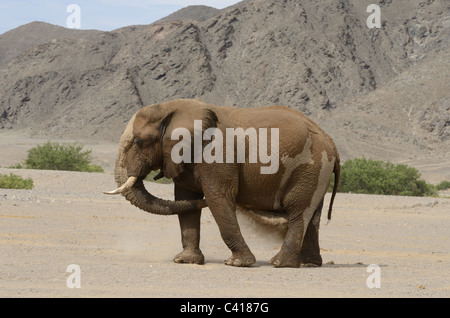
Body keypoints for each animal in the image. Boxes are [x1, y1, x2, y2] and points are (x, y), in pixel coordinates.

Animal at [103, 99, 340, 268]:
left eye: (138, 142)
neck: (173, 109)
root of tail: (331, 142)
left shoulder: (216, 155)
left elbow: (218, 198)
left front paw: (238, 264)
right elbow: (186, 200)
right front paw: (185, 261)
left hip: (309, 166)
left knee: (297, 210)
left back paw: (281, 264)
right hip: (316, 171)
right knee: (312, 214)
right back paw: (309, 264)